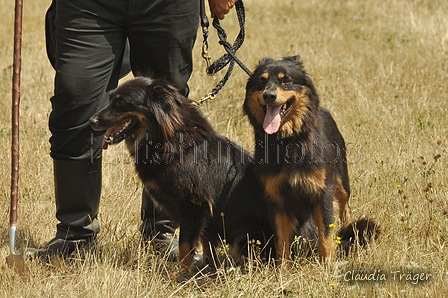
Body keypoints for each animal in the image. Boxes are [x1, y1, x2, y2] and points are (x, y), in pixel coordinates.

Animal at [88, 77, 318, 274]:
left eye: (121, 103)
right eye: (111, 99)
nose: (91, 121)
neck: (168, 138)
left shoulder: (192, 205)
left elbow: (185, 247)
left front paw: (181, 276)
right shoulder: (206, 213)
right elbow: (206, 243)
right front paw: (207, 267)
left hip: (246, 231)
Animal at [245, 56, 378, 264]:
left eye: (285, 80)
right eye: (261, 80)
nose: (269, 96)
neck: (289, 141)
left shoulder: (322, 192)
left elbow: (326, 236)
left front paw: (327, 266)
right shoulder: (276, 197)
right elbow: (281, 242)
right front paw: (282, 269)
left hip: (341, 179)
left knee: (345, 206)